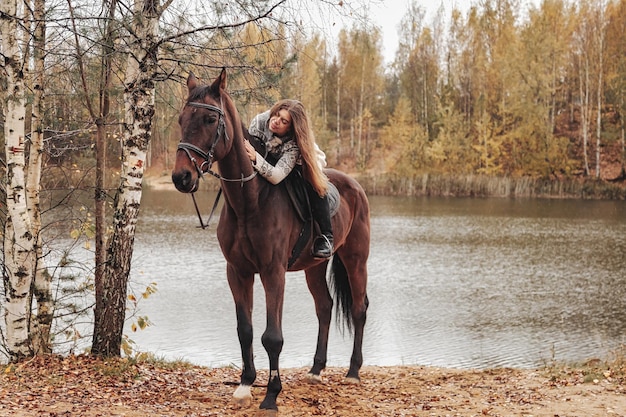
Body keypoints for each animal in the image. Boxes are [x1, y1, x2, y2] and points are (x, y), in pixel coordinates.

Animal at [168, 68, 368, 410]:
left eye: (210, 119)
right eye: (182, 119)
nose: (182, 177)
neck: (250, 200)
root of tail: (355, 185)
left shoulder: (273, 272)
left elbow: (272, 337)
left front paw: (272, 395)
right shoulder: (238, 271)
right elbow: (245, 330)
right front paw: (246, 384)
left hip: (355, 259)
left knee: (358, 309)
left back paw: (353, 371)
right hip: (315, 265)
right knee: (325, 307)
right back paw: (316, 369)